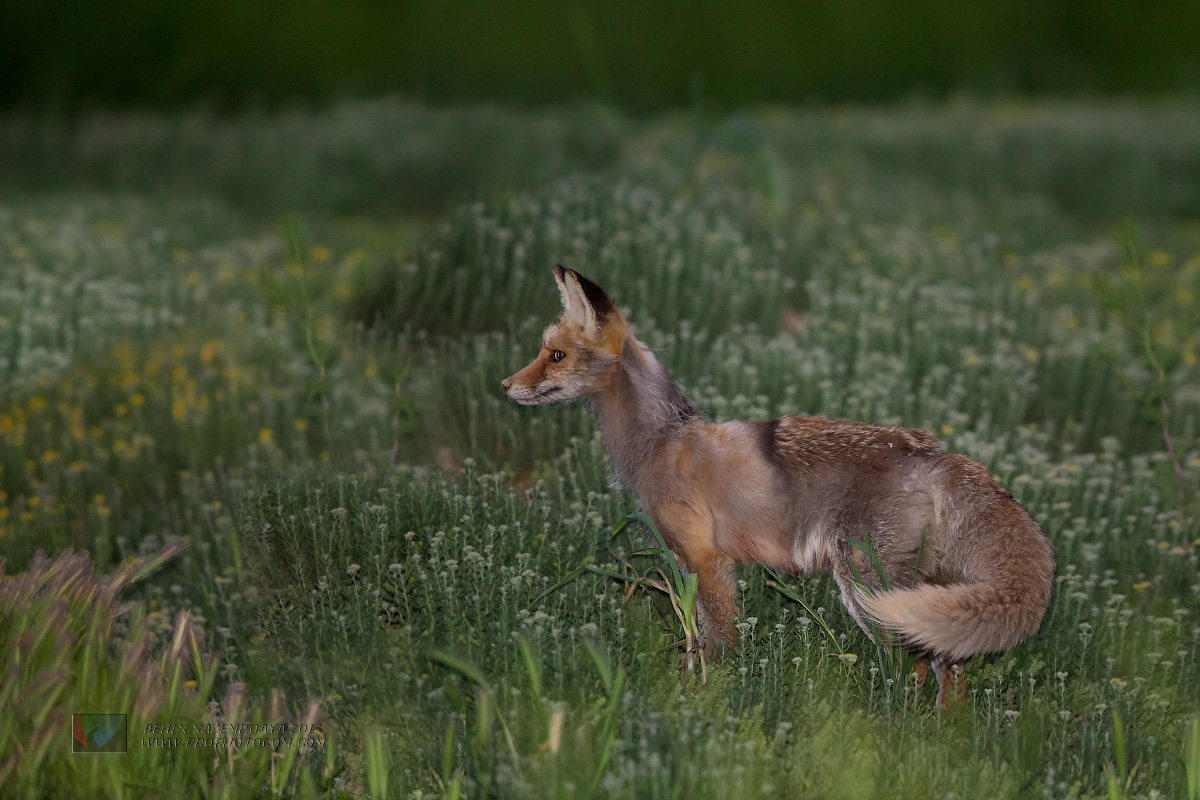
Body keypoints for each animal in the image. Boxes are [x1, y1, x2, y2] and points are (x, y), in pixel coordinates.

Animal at [502, 265, 1055, 706]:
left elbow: (714, 641)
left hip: (868, 588)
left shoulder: (705, 559)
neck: (660, 440)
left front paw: (707, 694)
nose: (506, 385)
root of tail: (934, 453)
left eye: (555, 355)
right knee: (949, 668)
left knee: (916, 664)